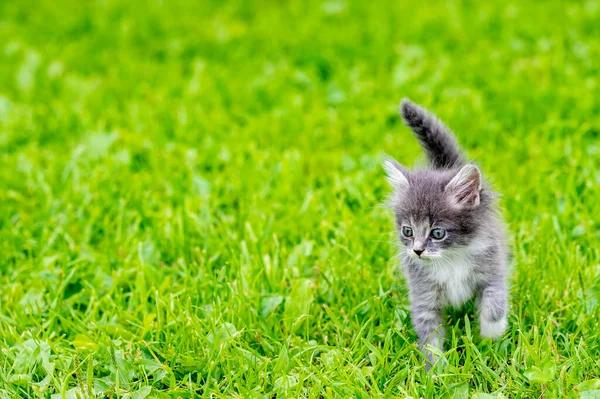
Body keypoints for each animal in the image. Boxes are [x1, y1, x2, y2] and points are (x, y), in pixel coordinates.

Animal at [384, 98, 510, 370]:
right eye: (407, 231)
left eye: (438, 233)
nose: (417, 250)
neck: (450, 259)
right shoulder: (423, 293)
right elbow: (430, 333)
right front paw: (436, 370)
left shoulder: (492, 267)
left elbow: (495, 301)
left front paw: (491, 335)